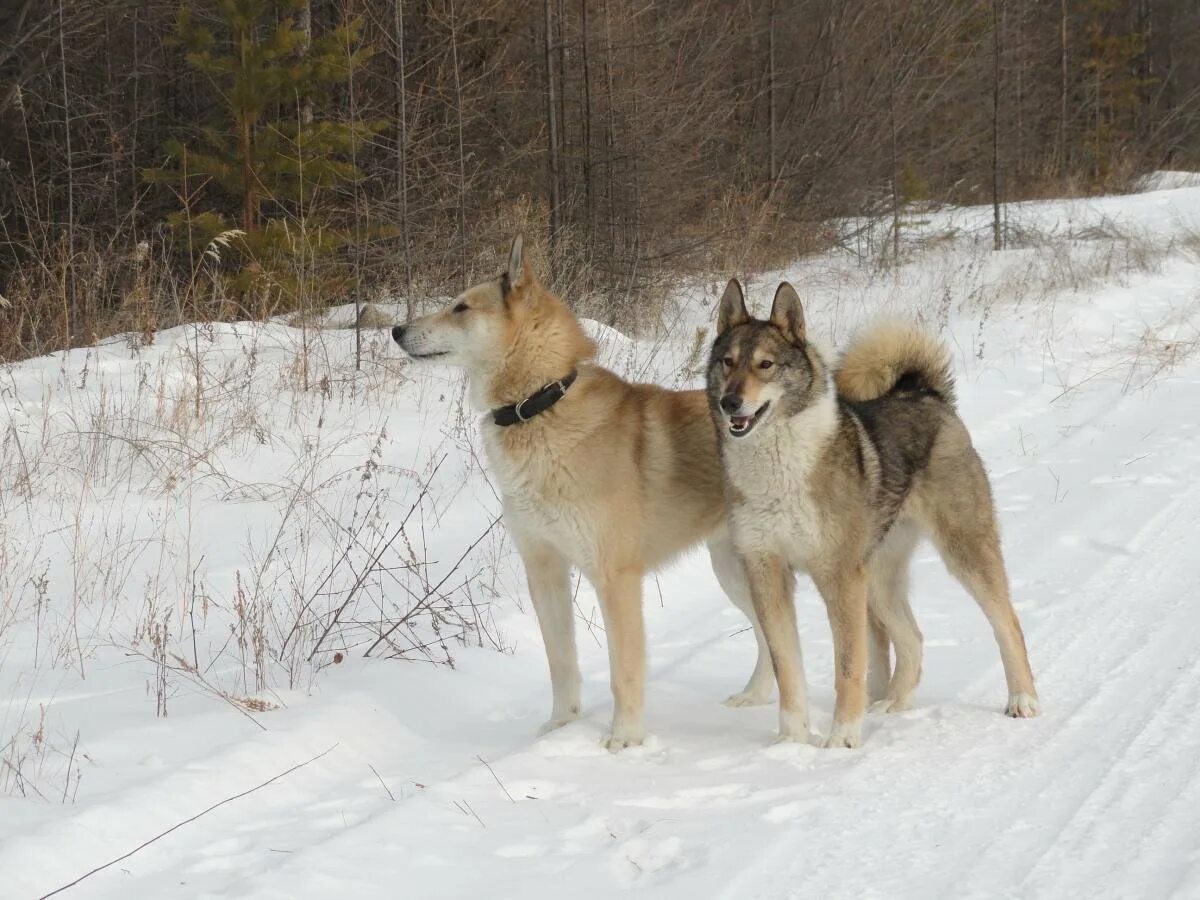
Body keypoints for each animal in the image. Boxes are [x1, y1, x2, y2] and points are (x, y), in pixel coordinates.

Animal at [391, 240, 768, 753]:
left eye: (461, 307)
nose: (395, 329)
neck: (539, 405)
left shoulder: (615, 578)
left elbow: (624, 671)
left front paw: (625, 738)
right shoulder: (544, 570)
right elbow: (561, 662)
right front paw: (561, 725)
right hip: (731, 569)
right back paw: (756, 696)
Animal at [705, 282, 1036, 748]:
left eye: (765, 365)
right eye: (727, 362)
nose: (730, 401)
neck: (779, 468)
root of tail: (923, 393)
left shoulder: (840, 578)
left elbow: (849, 668)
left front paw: (842, 738)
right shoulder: (767, 575)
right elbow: (787, 669)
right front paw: (790, 742)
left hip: (962, 552)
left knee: (1007, 622)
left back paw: (1022, 699)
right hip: (879, 576)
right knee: (913, 637)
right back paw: (893, 704)